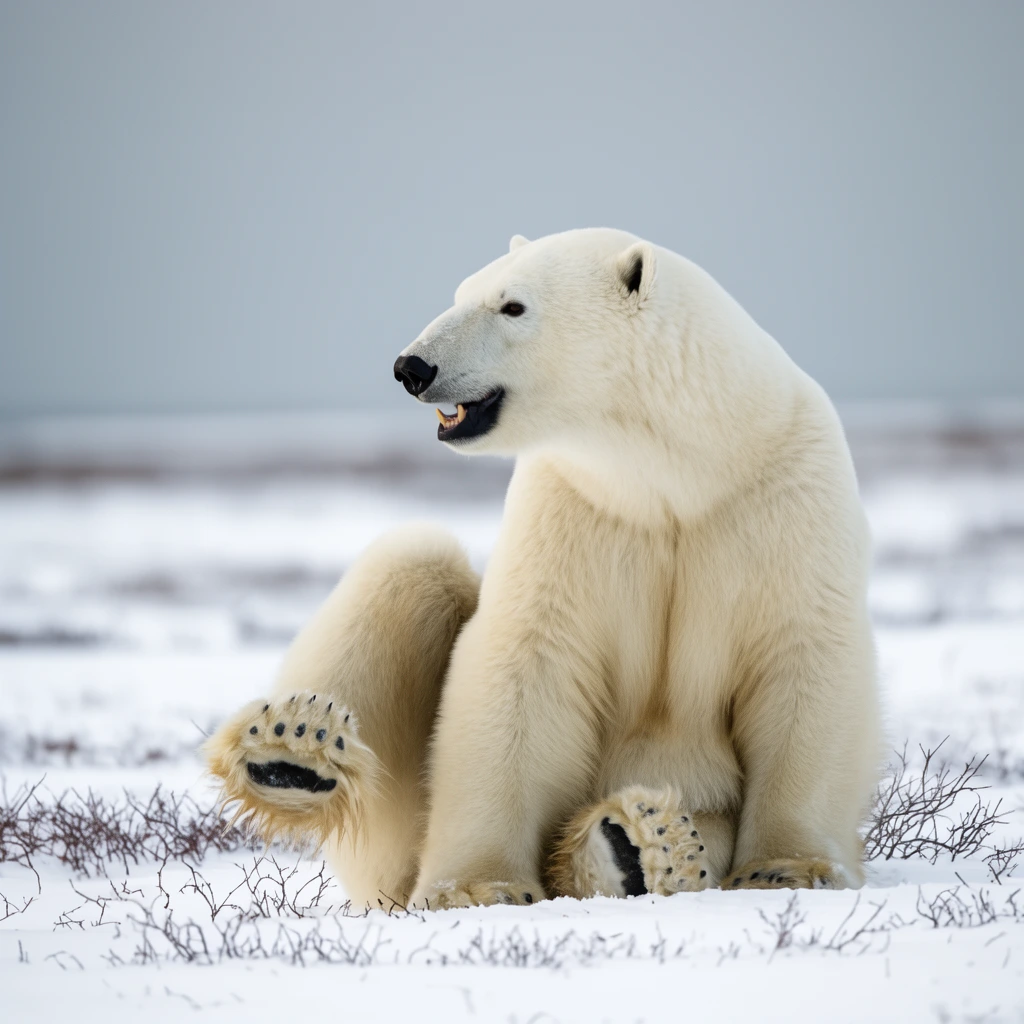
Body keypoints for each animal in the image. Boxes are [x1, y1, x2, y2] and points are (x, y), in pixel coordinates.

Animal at [205, 228, 881, 909]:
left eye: (512, 306)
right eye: (461, 292)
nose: (411, 368)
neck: (679, 475)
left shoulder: (783, 497)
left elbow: (804, 662)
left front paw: (788, 868)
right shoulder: (570, 504)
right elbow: (526, 667)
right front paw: (474, 886)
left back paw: (642, 844)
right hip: (392, 833)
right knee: (413, 560)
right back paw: (292, 747)